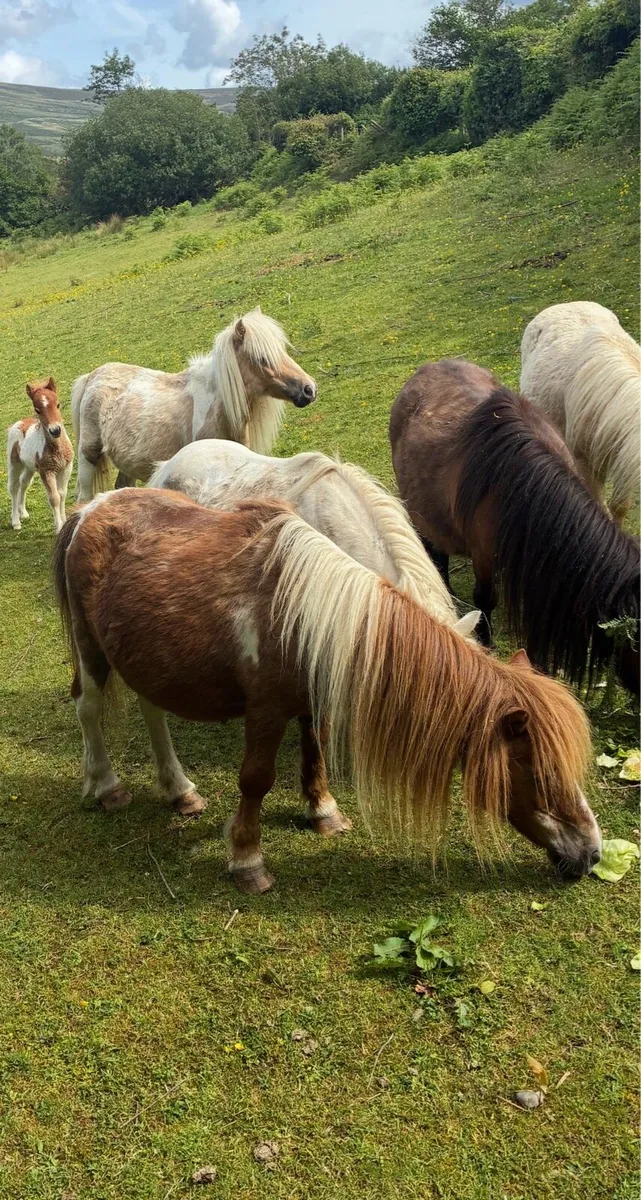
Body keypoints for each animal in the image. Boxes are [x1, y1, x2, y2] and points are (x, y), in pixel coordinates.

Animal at [7, 378, 73, 533]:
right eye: (37, 410)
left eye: (58, 404)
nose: (55, 430)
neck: (57, 449)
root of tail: (19, 423)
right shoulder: (46, 471)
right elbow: (54, 498)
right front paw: (59, 527)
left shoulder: (66, 468)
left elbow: (62, 494)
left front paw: (64, 521)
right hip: (14, 464)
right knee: (13, 487)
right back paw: (16, 521)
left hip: (29, 467)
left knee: (24, 483)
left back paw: (23, 513)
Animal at [54, 487, 601, 893]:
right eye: (539, 770)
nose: (593, 852)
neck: (308, 612)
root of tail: (90, 509)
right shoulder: (266, 711)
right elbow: (255, 780)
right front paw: (247, 860)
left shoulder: (313, 700)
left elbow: (313, 751)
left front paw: (323, 812)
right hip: (91, 648)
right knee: (88, 708)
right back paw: (106, 786)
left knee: (152, 711)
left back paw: (180, 790)